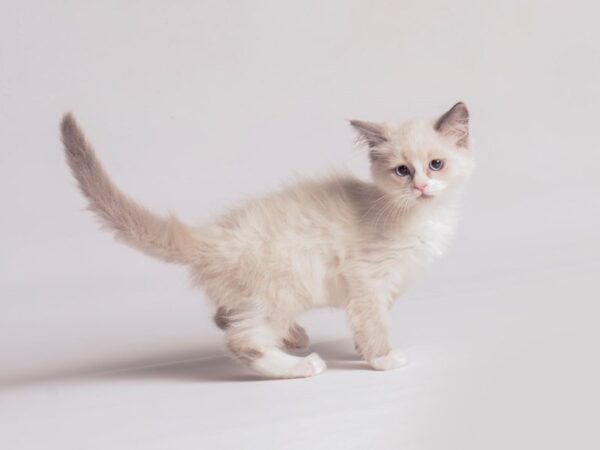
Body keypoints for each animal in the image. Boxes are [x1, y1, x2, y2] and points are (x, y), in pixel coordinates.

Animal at [61, 103, 474, 380]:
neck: (416, 216)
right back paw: (301, 364)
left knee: (223, 316)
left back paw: (292, 338)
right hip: (283, 289)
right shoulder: (368, 281)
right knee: (241, 339)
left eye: (435, 165)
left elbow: (367, 321)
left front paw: (361, 350)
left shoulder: (383, 287)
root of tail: (215, 235)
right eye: (402, 171)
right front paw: (383, 358)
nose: (420, 186)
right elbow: (374, 322)